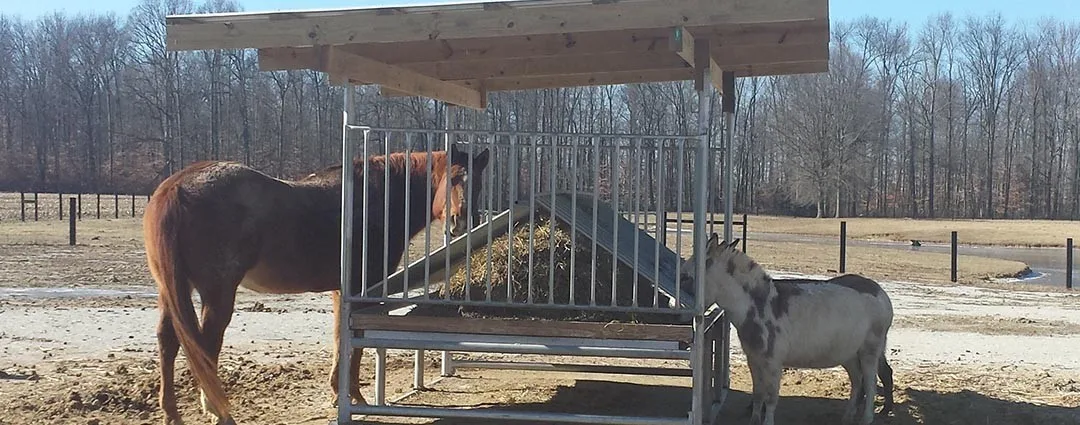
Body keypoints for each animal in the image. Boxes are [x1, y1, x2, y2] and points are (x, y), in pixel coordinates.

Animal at [145, 144, 492, 422]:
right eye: (453, 178)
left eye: (478, 184)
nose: (461, 222)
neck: (374, 202)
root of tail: (176, 187)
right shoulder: (361, 291)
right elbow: (355, 343)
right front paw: (355, 397)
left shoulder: (341, 292)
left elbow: (341, 340)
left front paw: (340, 394)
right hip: (217, 293)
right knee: (205, 346)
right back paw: (218, 411)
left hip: (172, 290)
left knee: (168, 341)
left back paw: (172, 414)